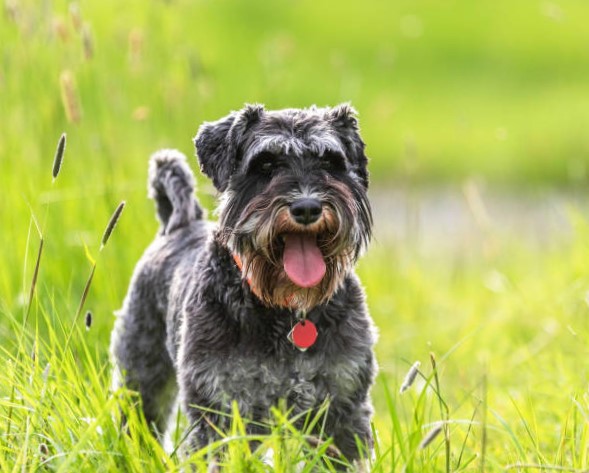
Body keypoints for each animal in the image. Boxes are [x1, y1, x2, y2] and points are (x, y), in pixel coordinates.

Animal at [110, 104, 376, 464]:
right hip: (141, 378)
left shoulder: (342, 405)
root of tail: (178, 224)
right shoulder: (220, 404)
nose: (307, 207)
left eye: (329, 162)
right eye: (265, 164)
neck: (287, 311)